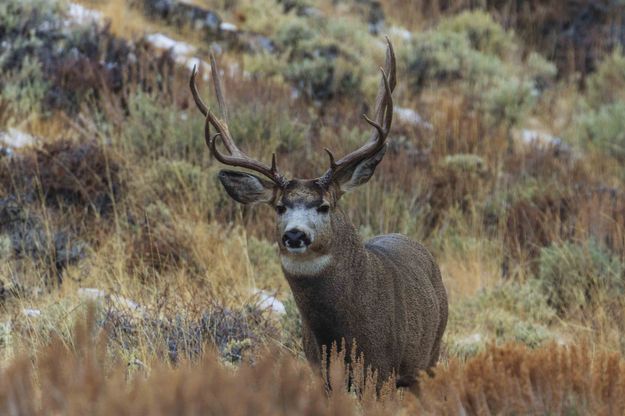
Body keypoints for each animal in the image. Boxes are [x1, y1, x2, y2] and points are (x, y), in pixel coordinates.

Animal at [188, 40, 446, 388]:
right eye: (280, 207)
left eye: (324, 206)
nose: (295, 234)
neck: (341, 335)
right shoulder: (320, 369)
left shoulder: (382, 369)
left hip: (428, 357)